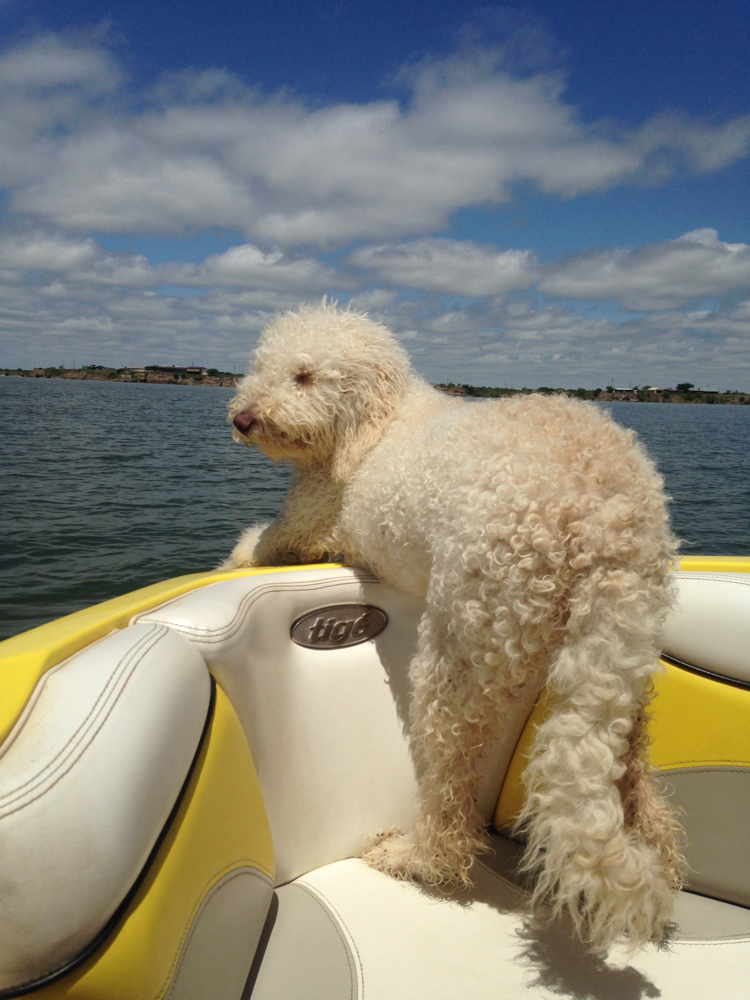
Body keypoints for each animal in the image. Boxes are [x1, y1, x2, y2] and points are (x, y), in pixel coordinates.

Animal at [225, 302, 688, 952]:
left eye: (305, 376)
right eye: (262, 366)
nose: (243, 419)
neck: (380, 420)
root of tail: (605, 516)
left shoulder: (312, 522)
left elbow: (259, 543)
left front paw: (233, 559)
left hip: (463, 643)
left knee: (447, 798)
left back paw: (411, 856)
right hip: (621, 652)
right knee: (636, 778)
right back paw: (660, 851)